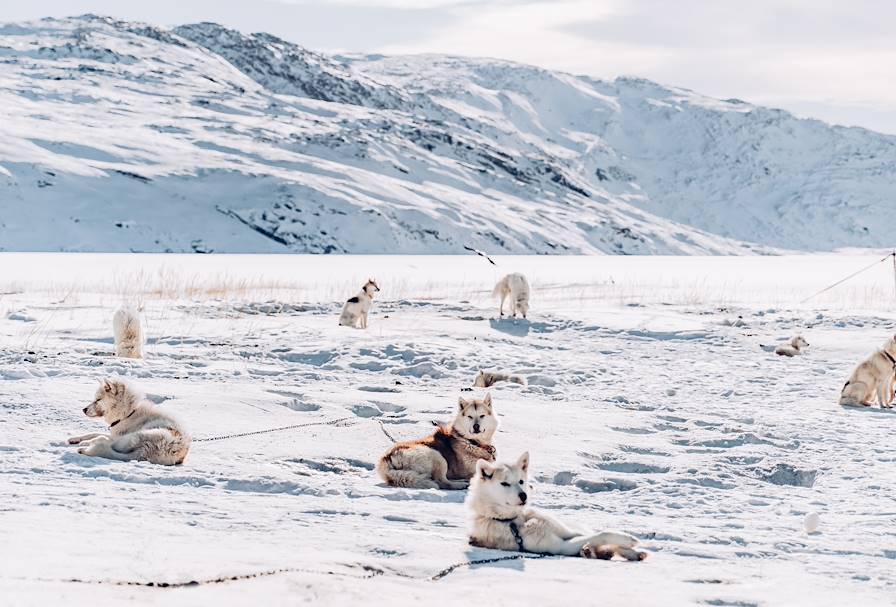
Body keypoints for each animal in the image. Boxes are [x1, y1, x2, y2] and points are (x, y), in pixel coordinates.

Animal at [466, 454, 648, 564]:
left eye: (521, 481)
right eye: (504, 483)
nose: (524, 495)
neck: (514, 522)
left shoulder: (568, 533)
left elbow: (599, 536)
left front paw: (630, 548)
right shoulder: (561, 546)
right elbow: (602, 535)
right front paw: (628, 539)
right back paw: (589, 551)